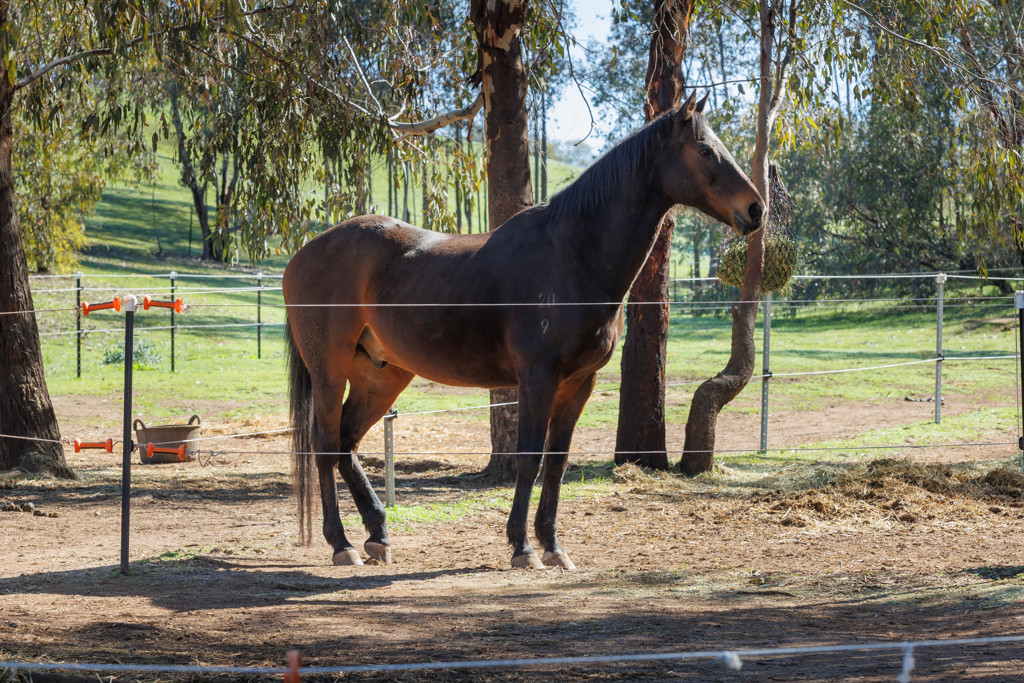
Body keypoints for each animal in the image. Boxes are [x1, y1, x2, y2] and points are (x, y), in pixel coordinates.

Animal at [283, 91, 763, 569]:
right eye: (705, 150)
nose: (757, 209)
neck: (572, 255)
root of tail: (303, 254)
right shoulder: (538, 377)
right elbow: (529, 458)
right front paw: (522, 547)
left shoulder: (579, 383)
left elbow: (556, 463)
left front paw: (552, 545)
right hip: (331, 370)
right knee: (324, 444)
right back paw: (341, 543)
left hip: (381, 375)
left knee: (345, 443)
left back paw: (378, 534)